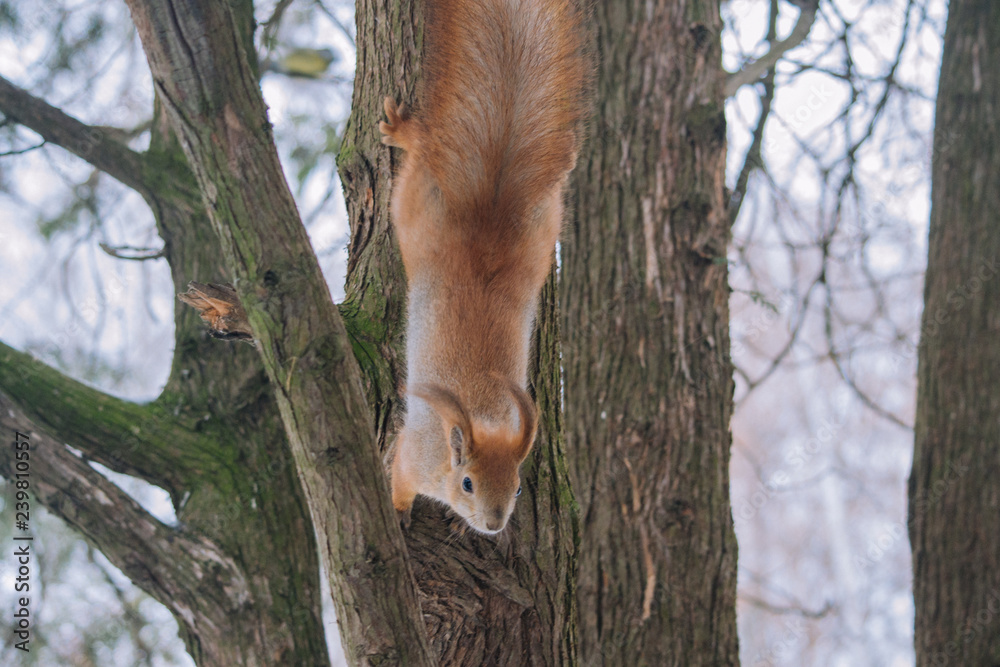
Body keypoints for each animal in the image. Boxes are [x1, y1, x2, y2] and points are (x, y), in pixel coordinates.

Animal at [379, 0, 590, 534]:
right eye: (468, 483)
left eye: (517, 486)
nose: (495, 526)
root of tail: (488, 219)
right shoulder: (413, 455)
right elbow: (399, 480)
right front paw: (399, 512)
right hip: (413, 208)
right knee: (419, 154)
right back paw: (403, 132)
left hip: (543, 229)